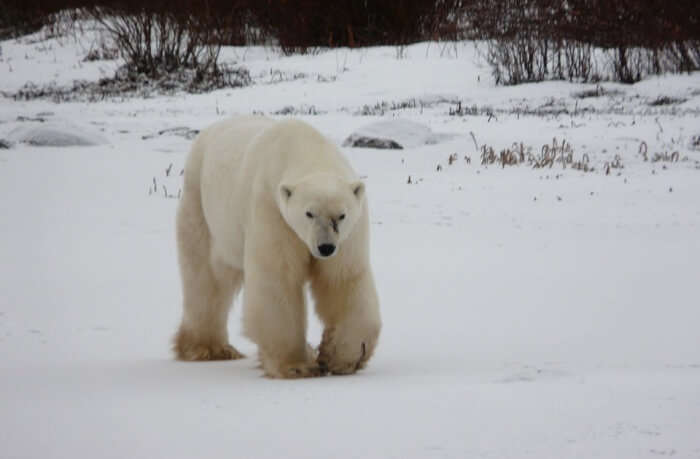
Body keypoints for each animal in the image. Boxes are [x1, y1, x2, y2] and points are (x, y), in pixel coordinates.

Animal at [175, 117, 382, 380]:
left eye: (341, 215)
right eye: (309, 213)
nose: (325, 247)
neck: (305, 147)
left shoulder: (350, 234)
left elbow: (342, 279)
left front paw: (340, 357)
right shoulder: (272, 210)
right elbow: (278, 278)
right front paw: (297, 365)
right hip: (201, 206)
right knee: (205, 277)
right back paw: (208, 349)